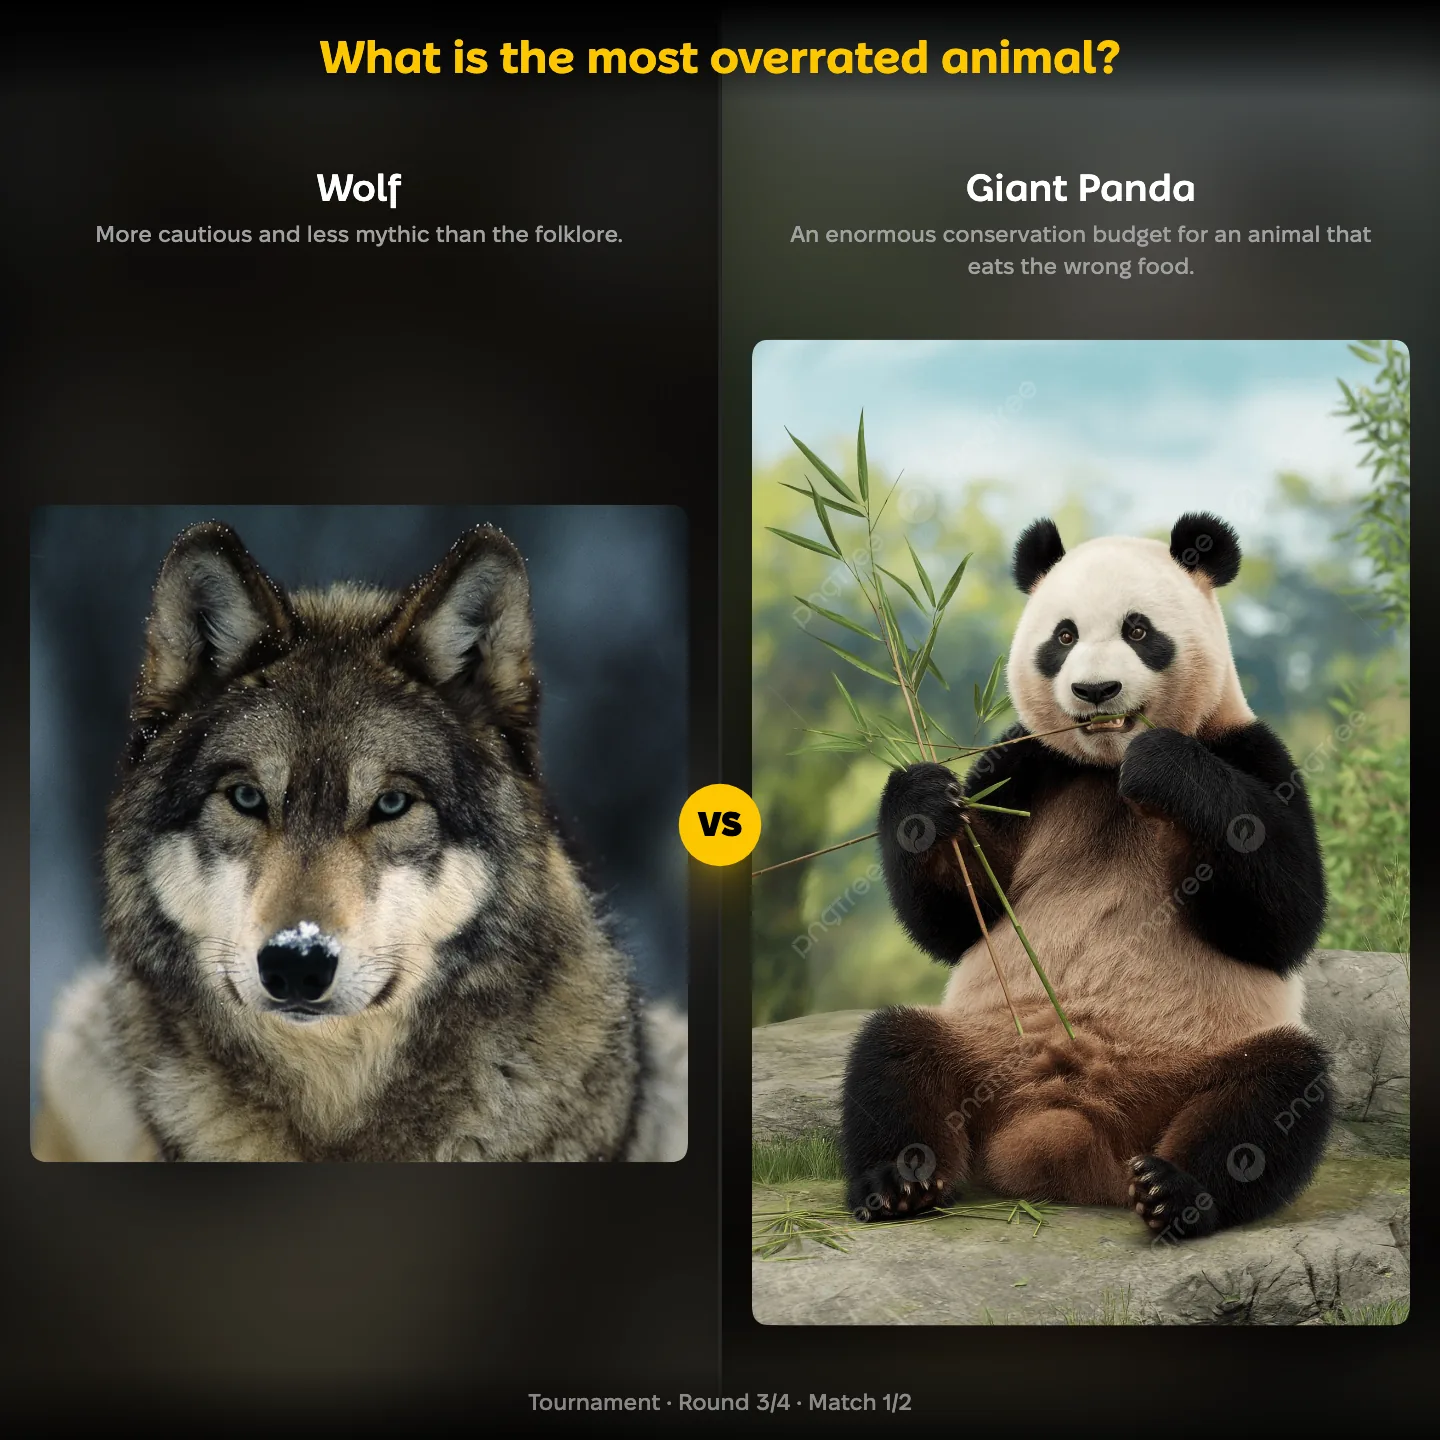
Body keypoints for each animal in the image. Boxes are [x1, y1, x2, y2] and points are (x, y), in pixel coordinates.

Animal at [841, 512, 1331, 1241]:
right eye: (1064, 636)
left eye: (1138, 630)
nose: (1095, 692)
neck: (1105, 768)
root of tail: (1063, 1127)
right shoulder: (1028, 769)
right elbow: (959, 919)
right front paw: (925, 796)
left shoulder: (1248, 751)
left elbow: (1282, 919)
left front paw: (1164, 767)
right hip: (985, 1048)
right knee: (893, 1053)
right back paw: (896, 1183)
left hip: (1188, 1067)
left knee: (1278, 1090)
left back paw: (1174, 1191)